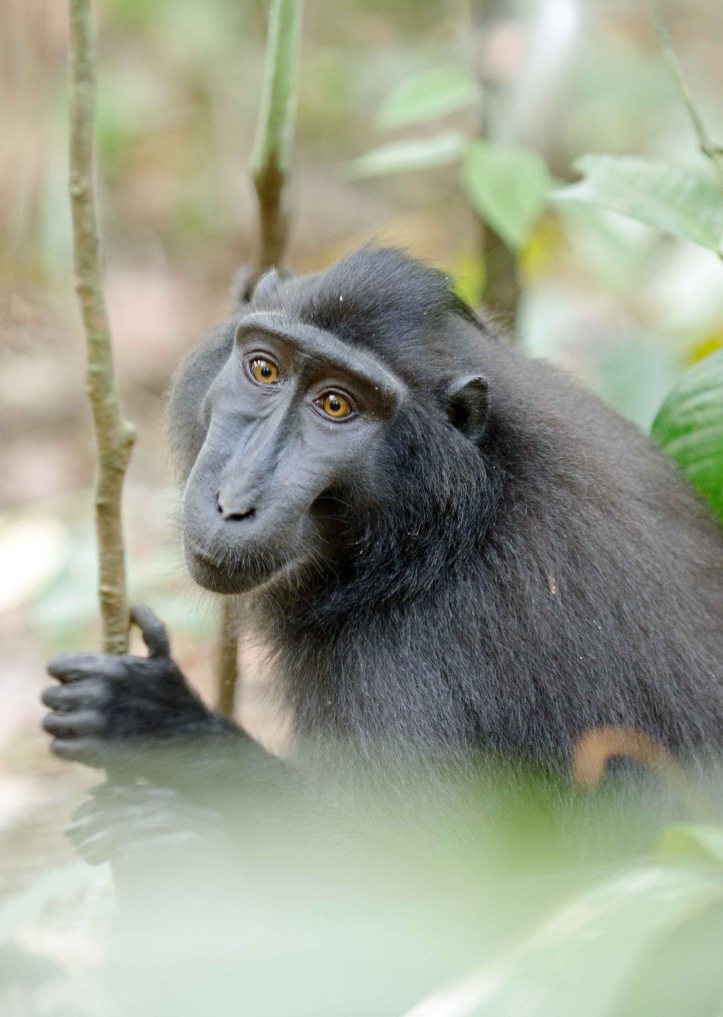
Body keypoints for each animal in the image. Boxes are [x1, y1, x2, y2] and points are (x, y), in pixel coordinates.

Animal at [42, 246, 722, 844]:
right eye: (264, 369)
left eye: (336, 405)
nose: (232, 502)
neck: (455, 524)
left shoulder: (411, 660)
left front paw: (157, 728)